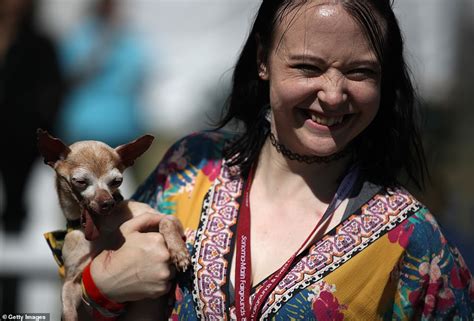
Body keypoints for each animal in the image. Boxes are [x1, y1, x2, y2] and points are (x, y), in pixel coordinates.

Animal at [37, 129, 190, 320]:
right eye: (80, 181)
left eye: (117, 181)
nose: (107, 202)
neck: (99, 223)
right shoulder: (71, 282)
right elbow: (68, 310)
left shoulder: (164, 218)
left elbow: (166, 221)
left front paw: (179, 251)